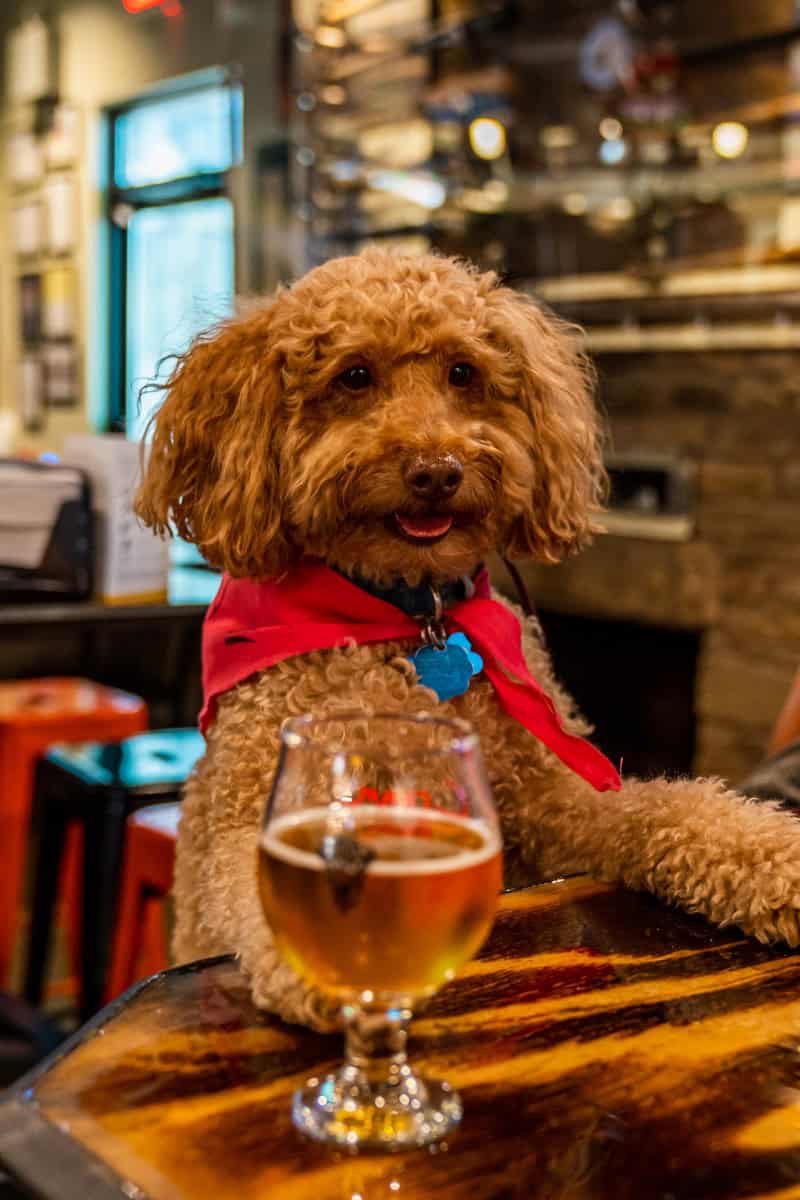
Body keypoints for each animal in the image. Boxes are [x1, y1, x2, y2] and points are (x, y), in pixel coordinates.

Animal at [134, 246, 796, 1032]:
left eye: (462, 372)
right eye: (354, 376)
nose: (436, 472)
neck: (412, 617)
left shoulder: (555, 809)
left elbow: (670, 807)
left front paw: (773, 857)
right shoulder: (253, 809)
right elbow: (253, 871)